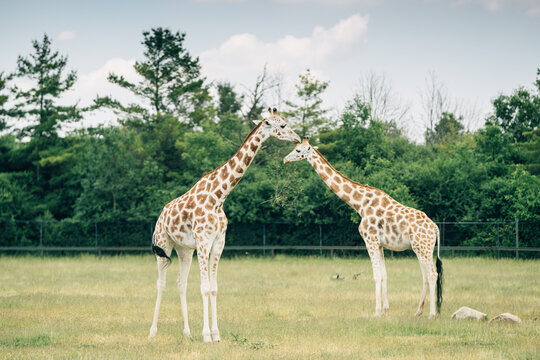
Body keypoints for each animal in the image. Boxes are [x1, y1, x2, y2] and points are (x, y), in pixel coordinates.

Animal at [149, 107, 300, 344]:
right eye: (282, 125)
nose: (297, 138)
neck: (218, 196)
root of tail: (160, 216)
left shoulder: (218, 242)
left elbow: (213, 288)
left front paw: (216, 334)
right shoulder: (203, 241)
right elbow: (204, 288)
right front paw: (206, 336)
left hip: (184, 249)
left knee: (181, 283)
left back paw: (187, 332)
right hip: (163, 245)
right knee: (161, 283)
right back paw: (152, 332)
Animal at [282, 138, 442, 318]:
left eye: (298, 150)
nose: (285, 159)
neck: (359, 204)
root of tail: (435, 228)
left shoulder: (370, 240)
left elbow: (376, 275)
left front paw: (376, 312)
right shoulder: (380, 244)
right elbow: (384, 275)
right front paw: (385, 310)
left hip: (423, 248)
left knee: (432, 274)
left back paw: (431, 314)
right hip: (420, 248)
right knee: (426, 276)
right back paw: (418, 312)